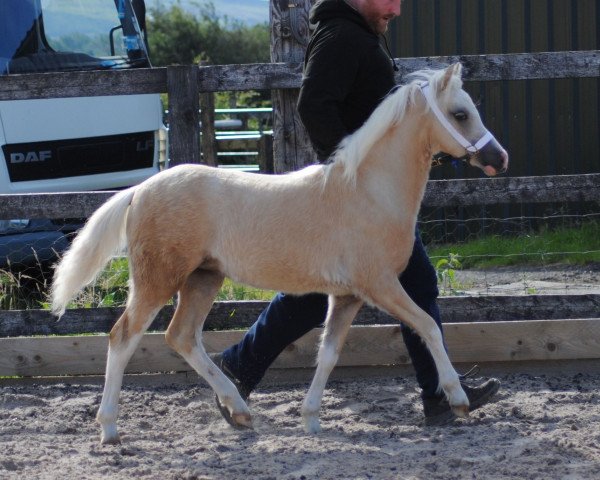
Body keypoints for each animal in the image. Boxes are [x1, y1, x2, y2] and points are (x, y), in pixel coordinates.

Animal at [54, 62, 508, 442]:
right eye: (460, 114)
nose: (499, 158)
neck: (367, 193)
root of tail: (141, 190)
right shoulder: (380, 285)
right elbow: (428, 326)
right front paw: (458, 399)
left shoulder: (347, 296)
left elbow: (328, 353)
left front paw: (311, 419)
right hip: (158, 281)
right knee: (123, 337)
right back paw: (110, 429)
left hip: (204, 278)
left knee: (181, 337)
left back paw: (238, 410)